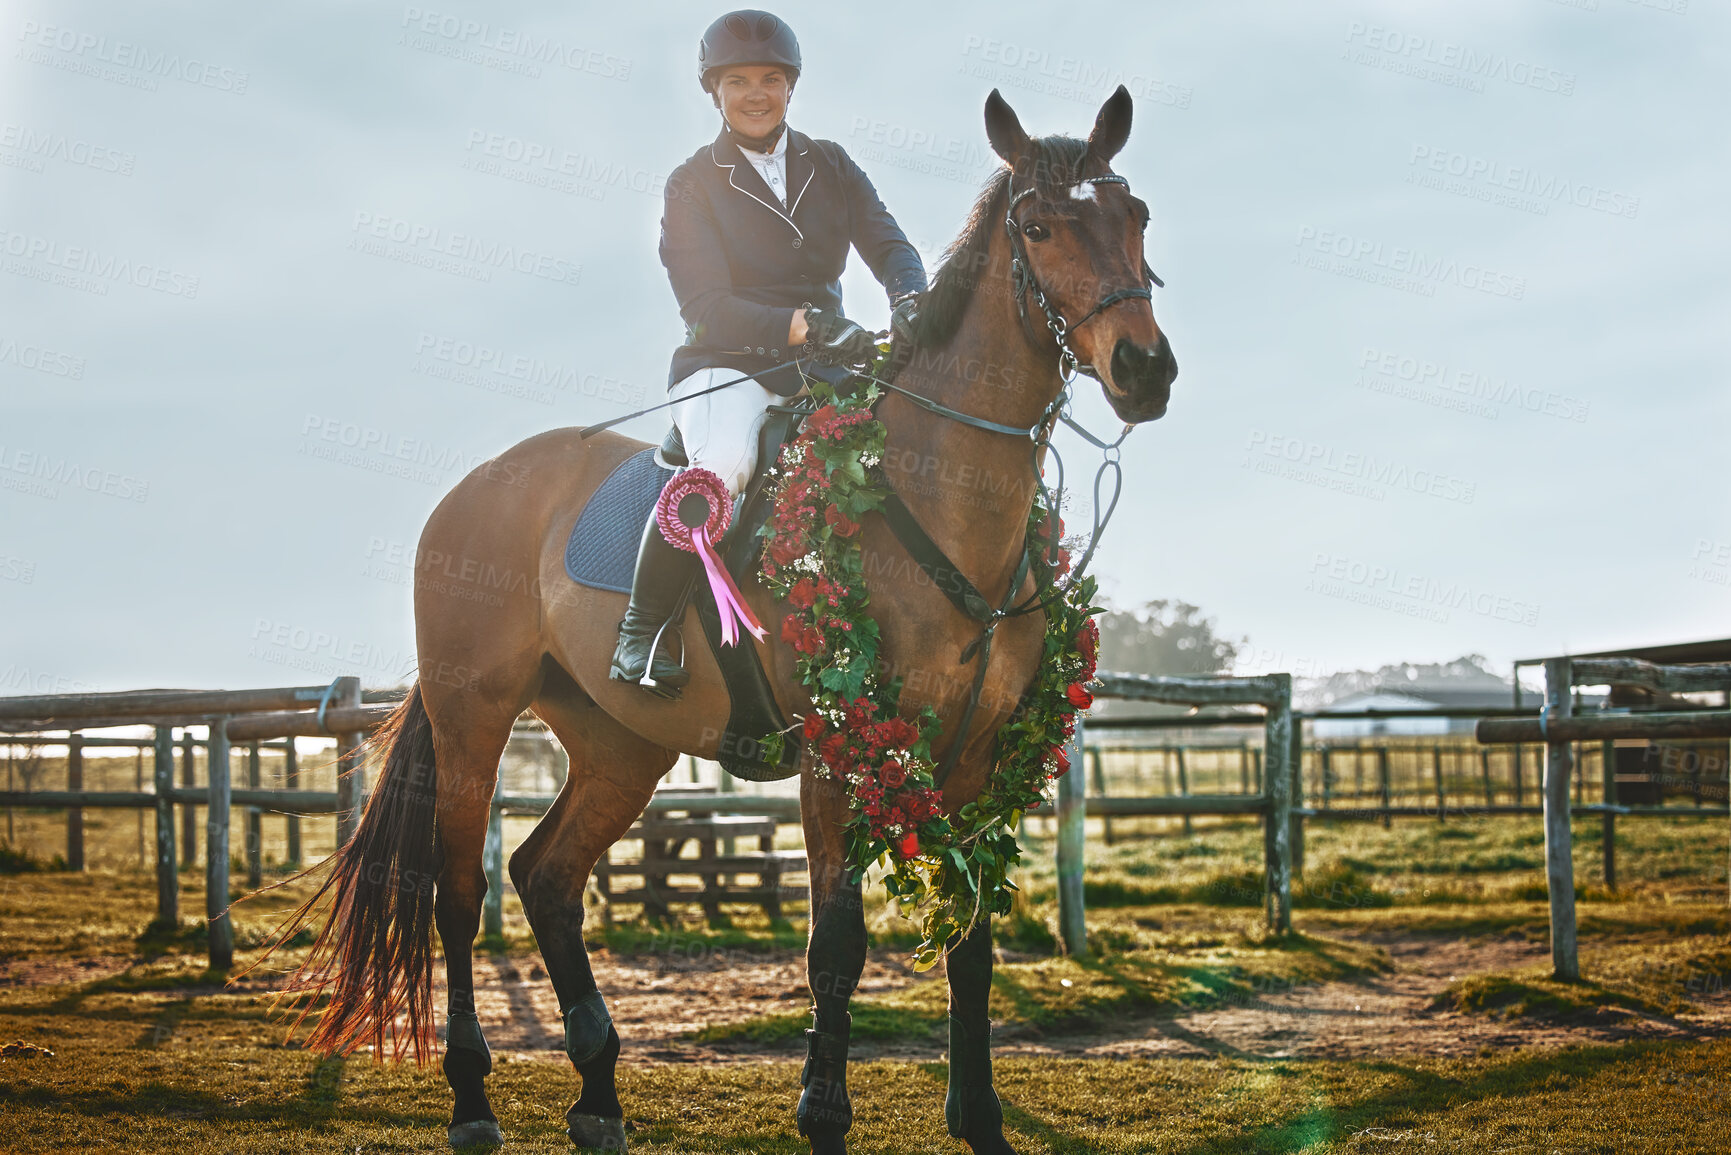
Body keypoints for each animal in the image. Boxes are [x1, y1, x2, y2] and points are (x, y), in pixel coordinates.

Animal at [259, 85, 1177, 1149]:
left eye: (1136, 214)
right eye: (1037, 228)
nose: (1144, 370)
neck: (932, 486)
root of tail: (478, 484)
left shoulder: (978, 756)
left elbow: (972, 939)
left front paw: (980, 1117)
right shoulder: (836, 749)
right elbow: (835, 943)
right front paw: (822, 1112)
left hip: (619, 743)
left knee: (546, 875)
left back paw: (598, 1095)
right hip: (472, 717)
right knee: (458, 891)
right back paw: (474, 1102)